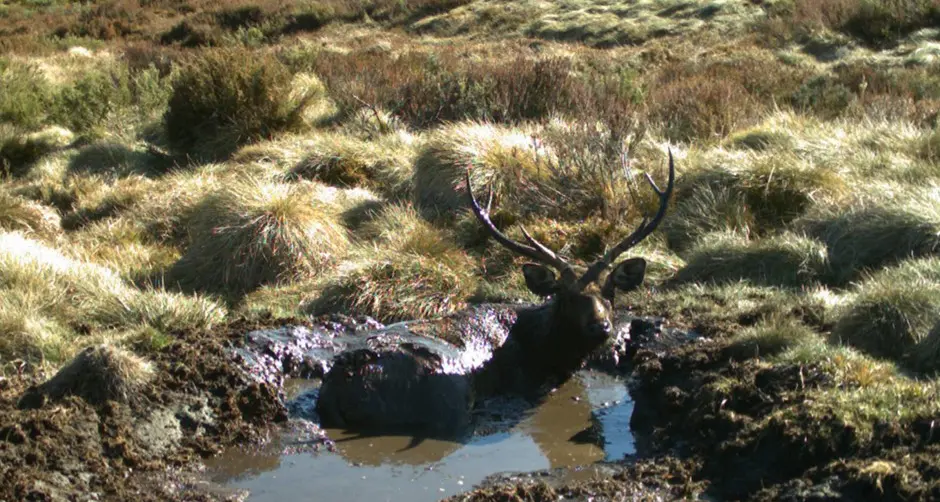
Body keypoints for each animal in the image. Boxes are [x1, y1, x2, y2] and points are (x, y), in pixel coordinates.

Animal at [316, 151, 675, 436]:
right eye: (565, 295)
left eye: (611, 291)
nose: (600, 326)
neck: (548, 352)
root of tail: (340, 385)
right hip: (446, 397)